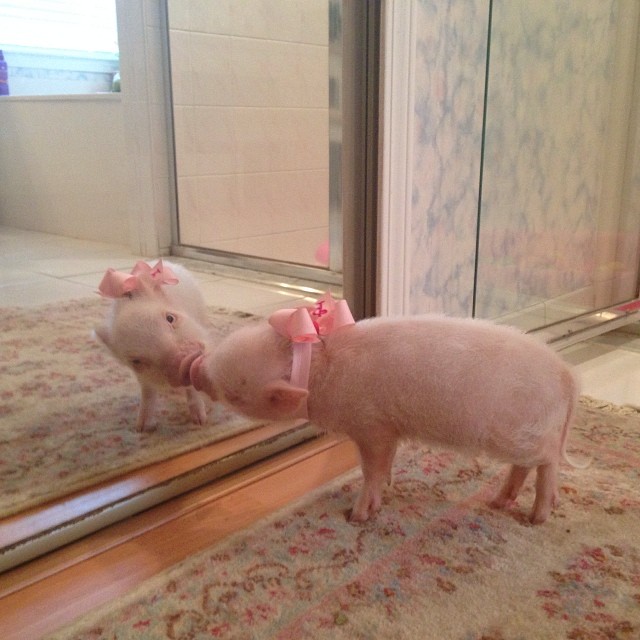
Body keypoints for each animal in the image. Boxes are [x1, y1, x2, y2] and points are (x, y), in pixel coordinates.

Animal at [95, 259, 212, 431]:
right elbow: (148, 392)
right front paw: (141, 428)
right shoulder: (143, 377)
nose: (180, 360)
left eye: (170, 318)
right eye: (136, 361)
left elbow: (192, 389)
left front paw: (200, 422)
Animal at [183, 295, 582, 524]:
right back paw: (499, 503)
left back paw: (538, 517)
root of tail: (566, 373)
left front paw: (357, 517)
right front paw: (382, 495)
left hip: (522, 432)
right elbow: (382, 466)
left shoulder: (371, 424)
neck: (319, 370)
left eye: (234, 394)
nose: (196, 366)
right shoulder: (387, 429)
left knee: (549, 460)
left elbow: (371, 469)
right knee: (527, 466)